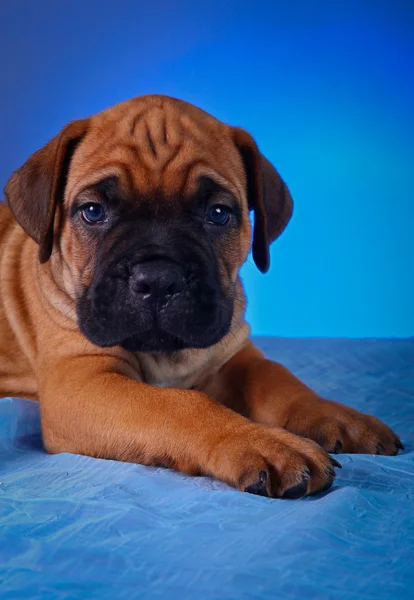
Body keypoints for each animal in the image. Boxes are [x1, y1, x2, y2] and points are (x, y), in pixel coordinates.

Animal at [0, 95, 402, 496]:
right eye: (93, 212)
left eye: (218, 213)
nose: (158, 279)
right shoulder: (80, 378)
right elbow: (180, 404)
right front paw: (260, 440)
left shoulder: (235, 354)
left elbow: (278, 379)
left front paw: (338, 415)